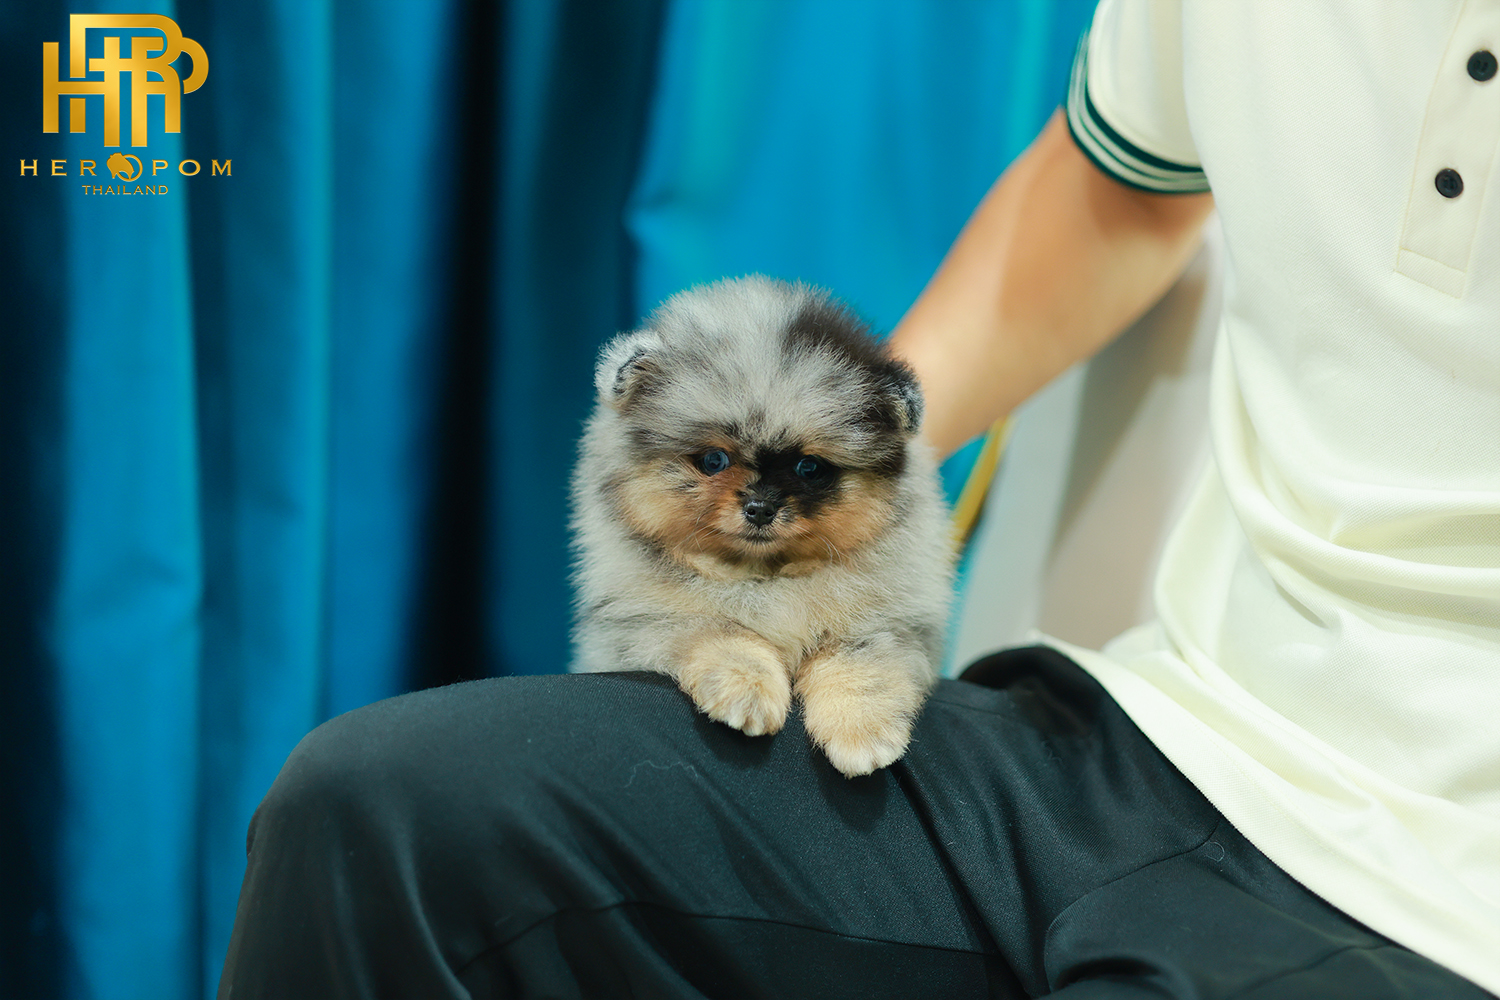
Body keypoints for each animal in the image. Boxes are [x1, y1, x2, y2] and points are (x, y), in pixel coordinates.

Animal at [569, 276, 953, 776]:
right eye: (713, 460)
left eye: (810, 468)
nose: (759, 507)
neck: (763, 577)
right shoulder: (646, 619)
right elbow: (721, 631)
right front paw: (747, 690)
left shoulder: (891, 624)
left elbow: (858, 663)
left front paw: (861, 732)